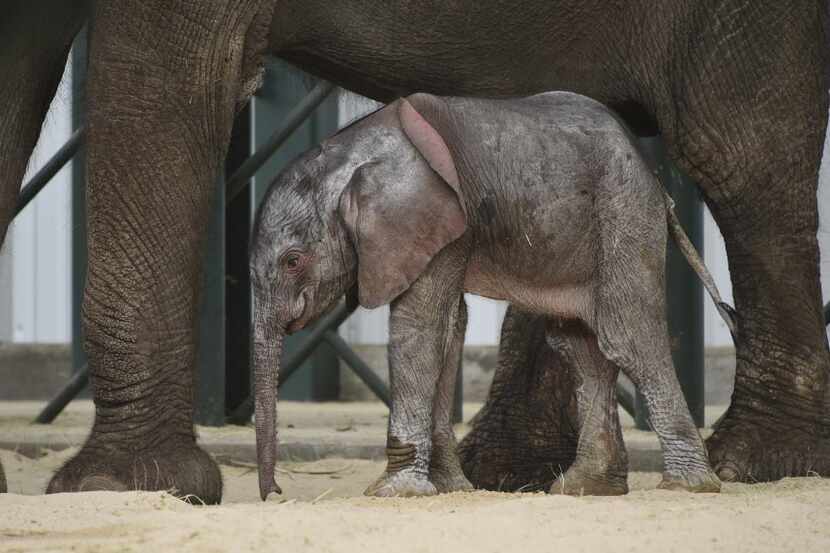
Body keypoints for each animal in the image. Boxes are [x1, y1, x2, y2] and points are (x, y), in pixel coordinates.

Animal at [249, 91, 728, 500]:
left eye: (293, 261)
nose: (276, 493)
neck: (351, 152)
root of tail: (655, 178)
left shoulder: (430, 219)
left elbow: (418, 324)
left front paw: (394, 492)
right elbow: (450, 326)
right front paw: (449, 488)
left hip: (624, 212)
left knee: (627, 336)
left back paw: (689, 486)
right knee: (580, 347)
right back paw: (585, 489)